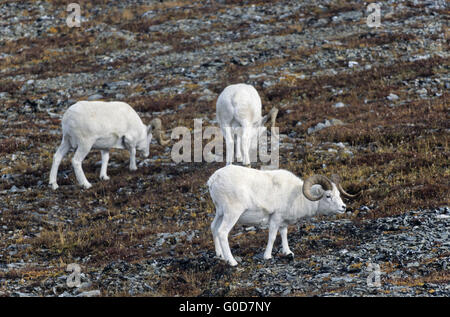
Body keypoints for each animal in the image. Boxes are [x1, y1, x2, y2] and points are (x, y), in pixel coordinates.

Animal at [207, 164, 358, 266]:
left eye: (338, 194)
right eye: (328, 196)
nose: (343, 208)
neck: (297, 196)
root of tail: (214, 179)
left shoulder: (283, 223)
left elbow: (284, 235)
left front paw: (288, 252)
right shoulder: (275, 218)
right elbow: (273, 237)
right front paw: (267, 256)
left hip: (220, 213)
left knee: (214, 228)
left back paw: (220, 256)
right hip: (232, 214)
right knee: (222, 232)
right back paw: (232, 261)